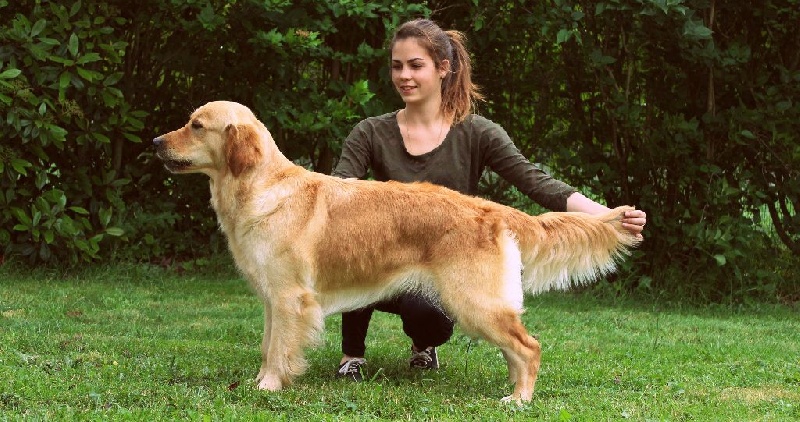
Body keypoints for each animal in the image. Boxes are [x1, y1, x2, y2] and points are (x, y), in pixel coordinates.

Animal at [153, 101, 641, 403]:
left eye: (196, 125)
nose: (155, 142)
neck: (258, 189)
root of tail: (491, 208)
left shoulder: (290, 297)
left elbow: (278, 350)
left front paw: (268, 387)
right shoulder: (274, 299)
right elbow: (267, 344)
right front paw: (262, 380)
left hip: (473, 301)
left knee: (530, 346)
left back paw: (519, 399)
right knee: (516, 349)